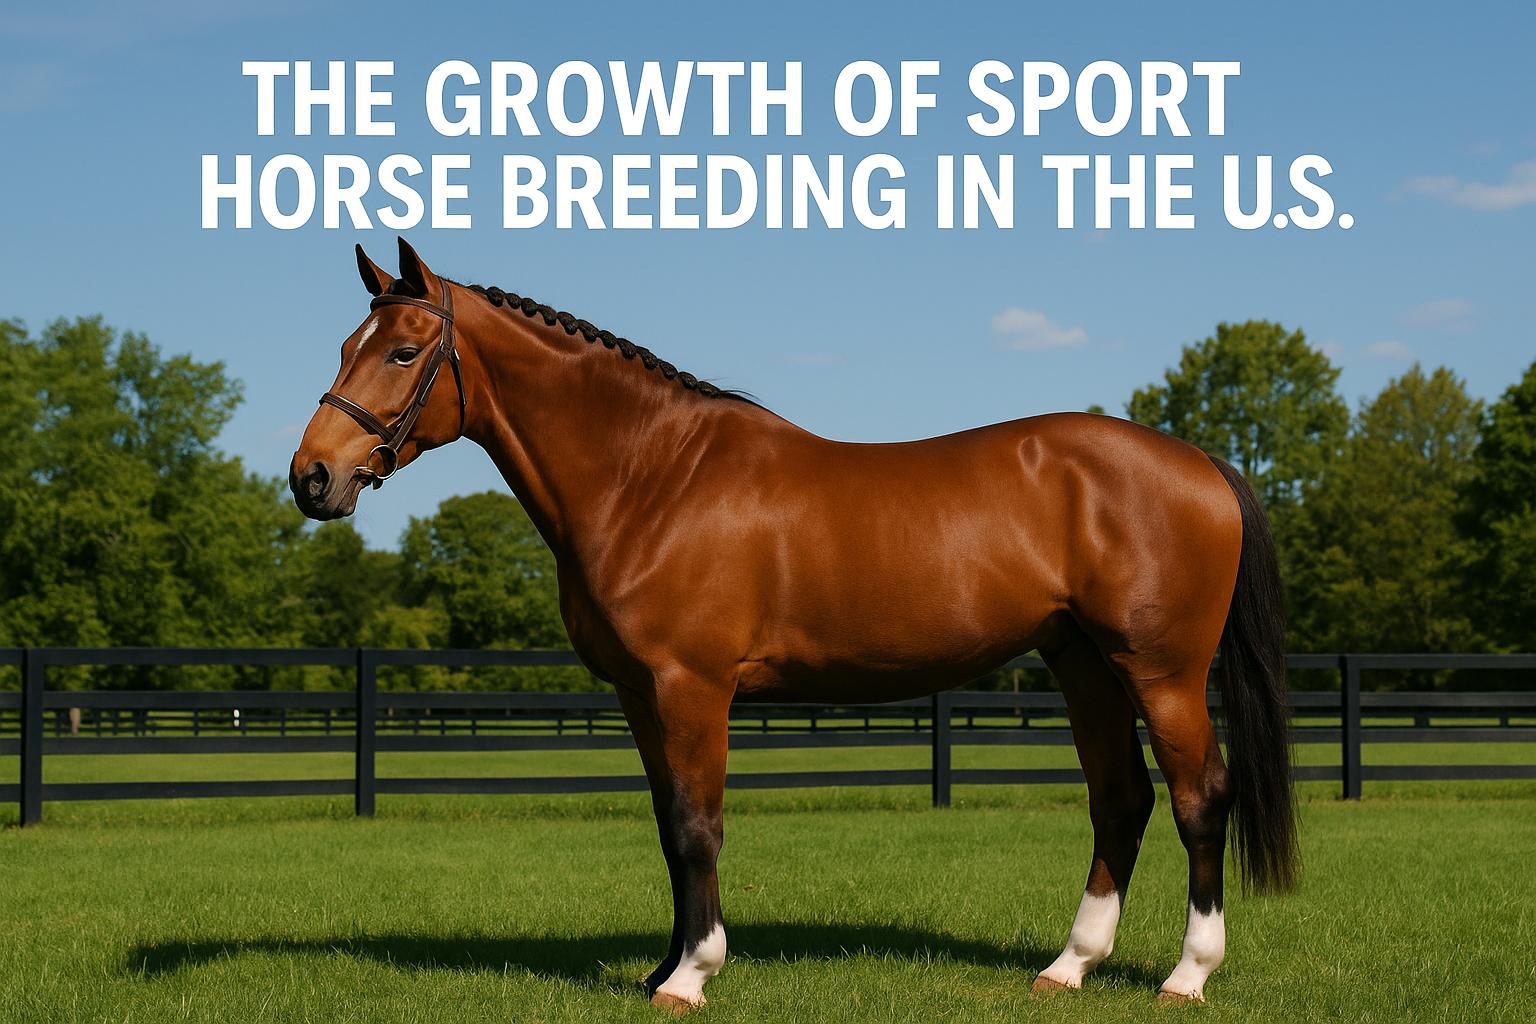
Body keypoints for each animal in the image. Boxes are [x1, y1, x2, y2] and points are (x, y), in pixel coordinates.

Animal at [290, 238, 1298, 1010]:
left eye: (404, 353)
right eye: (344, 342)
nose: (312, 478)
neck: (653, 476)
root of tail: (1199, 460)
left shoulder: (693, 689)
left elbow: (699, 825)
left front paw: (691, 977)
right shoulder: (641, 698)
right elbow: (668, 827)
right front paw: (663, 966)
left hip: (1161, 673)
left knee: (1200, 796)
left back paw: (1187, 976)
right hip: (1082, 664)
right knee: (1120, 800)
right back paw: (1069, 967)